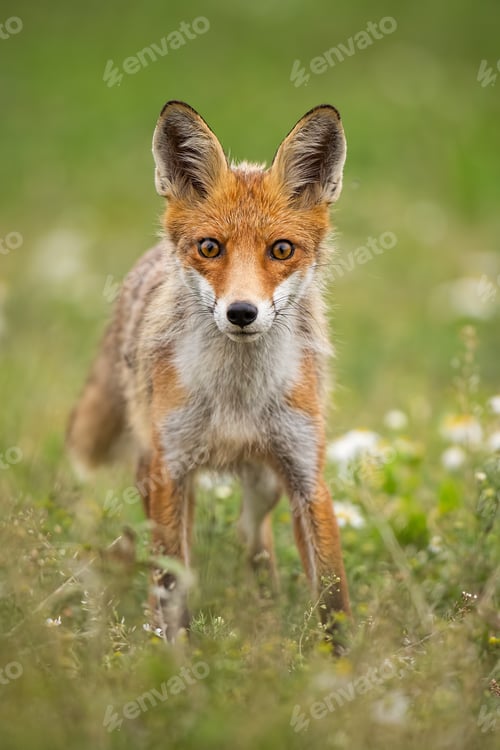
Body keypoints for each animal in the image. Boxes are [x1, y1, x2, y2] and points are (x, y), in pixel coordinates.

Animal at [67, 100, 351, 646]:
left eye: (281, 250)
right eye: (210, 248)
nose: (241, 312)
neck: (237, 397)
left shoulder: (307, 474)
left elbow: (331, 597)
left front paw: (344, 662)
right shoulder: (171, 471)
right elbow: (170, 585)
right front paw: (173, 656)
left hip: (264, 482)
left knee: (252, 537)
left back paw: (266, 603)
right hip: (154, 471)